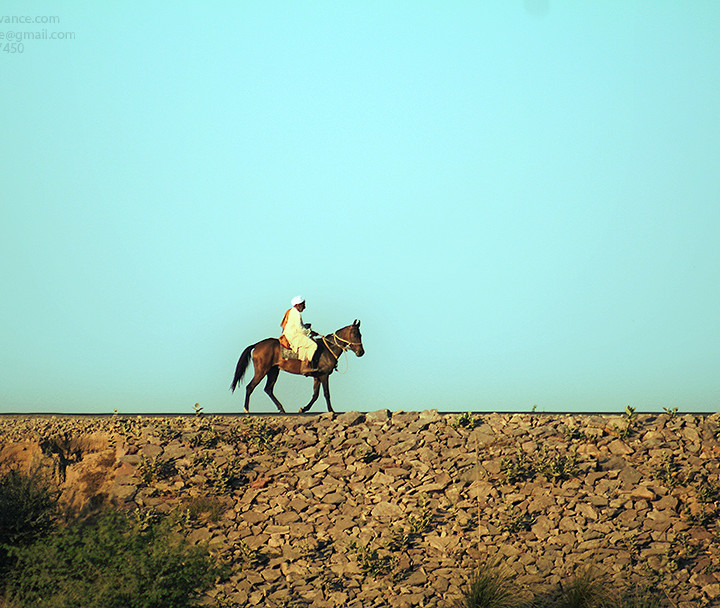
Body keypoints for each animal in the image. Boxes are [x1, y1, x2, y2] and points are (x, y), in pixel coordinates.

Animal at [230, 320, 364, 413]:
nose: (361, 352)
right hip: (261, 371)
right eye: (355, 334)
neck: (328, 349)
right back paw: (246, 410)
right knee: (250, 387)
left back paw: (281, 409)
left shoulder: (317, 377)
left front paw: (303, 409)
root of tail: (257, 344)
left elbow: (315, 395)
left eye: (360, 334)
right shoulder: (324, 375)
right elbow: (326, 393)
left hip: (273, 371)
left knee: (268, 389)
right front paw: (331, 411)